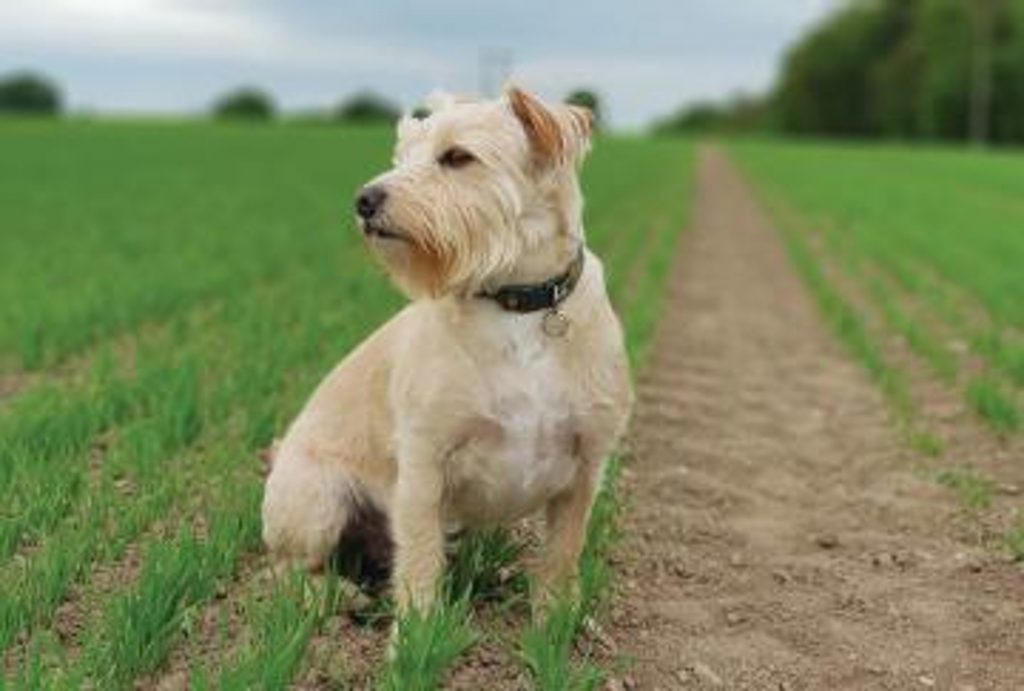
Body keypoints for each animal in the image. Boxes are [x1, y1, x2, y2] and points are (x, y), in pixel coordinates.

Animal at [262, 86, 630, 618]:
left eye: (458, 157)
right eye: (402, 157)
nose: (364, 199)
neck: (515, 306)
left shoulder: (585, 465)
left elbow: (563, 553)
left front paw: (556, 623)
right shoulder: (423, 461)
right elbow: (418, 560)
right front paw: (418, 635)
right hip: (316, 500)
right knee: (286, 570)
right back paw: (338, 593)